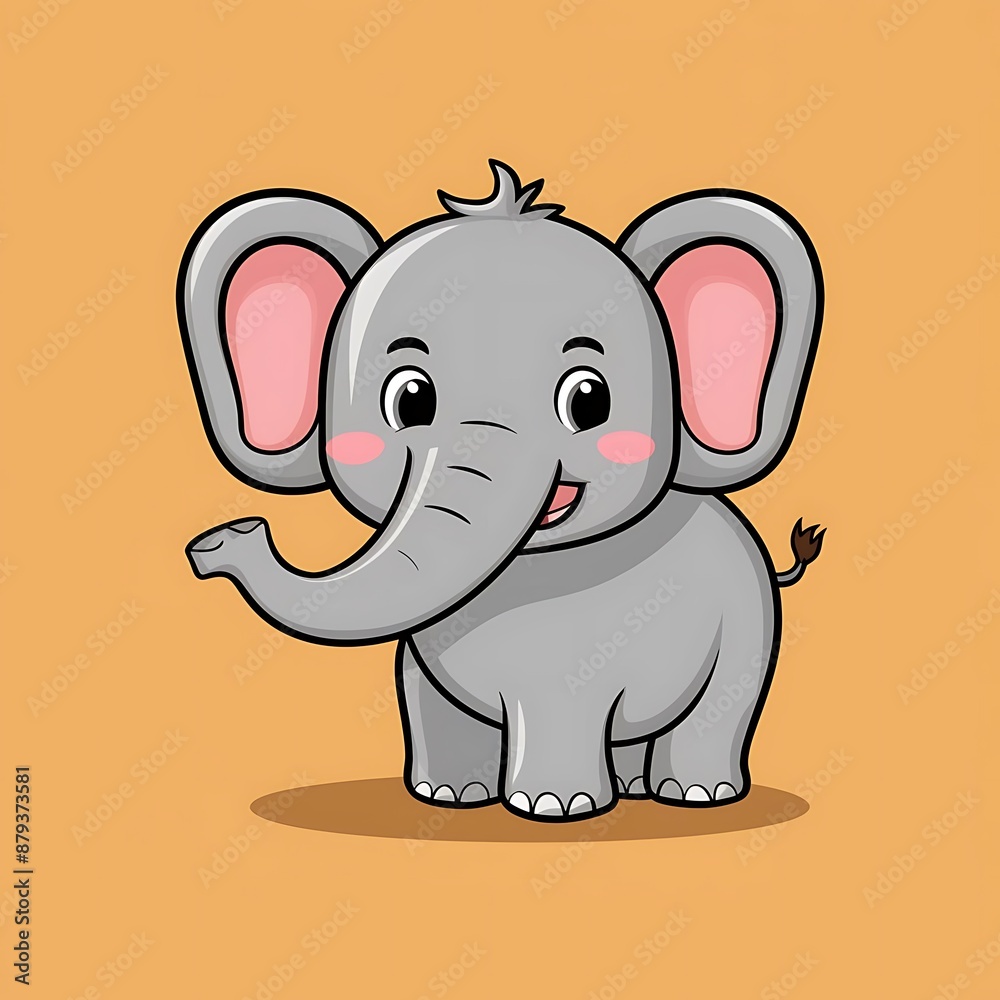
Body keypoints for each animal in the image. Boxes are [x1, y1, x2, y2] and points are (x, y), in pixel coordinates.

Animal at [178, 160, 825, 822]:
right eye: (409, 400)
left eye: (588, 400)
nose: (226, 539)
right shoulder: (422, 648)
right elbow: (428, 700)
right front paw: (447, 797)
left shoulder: (577, 656)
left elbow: (561, 707)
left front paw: (554, 807)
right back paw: (634, 789)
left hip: (747, 625)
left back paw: (695, 794)